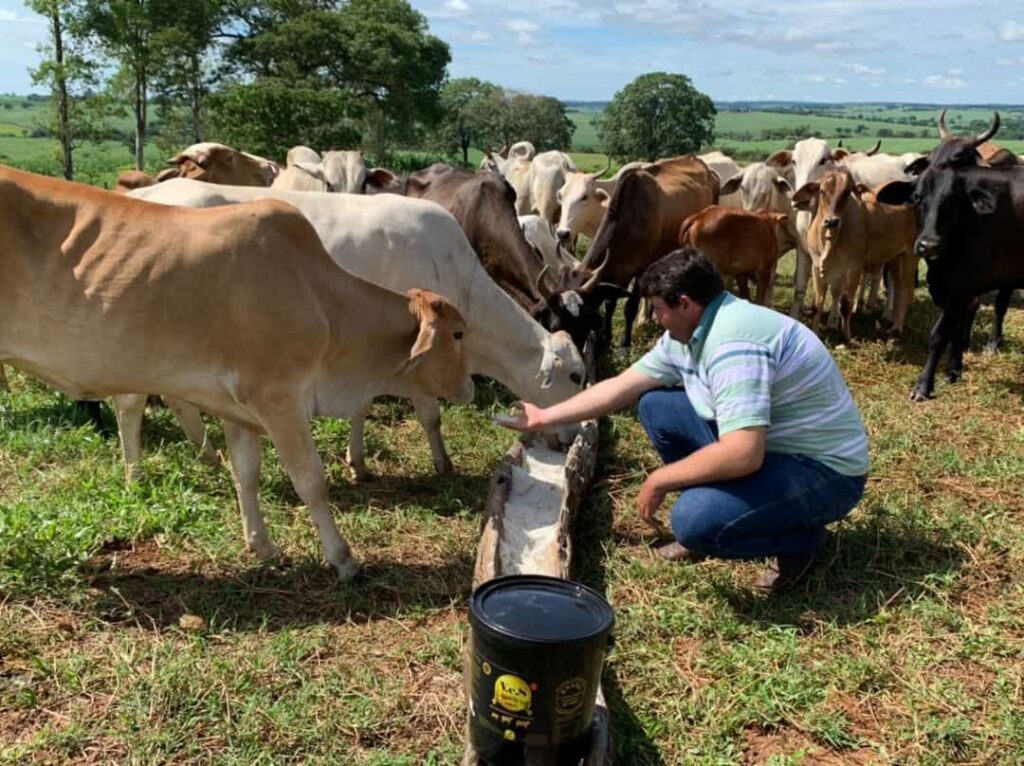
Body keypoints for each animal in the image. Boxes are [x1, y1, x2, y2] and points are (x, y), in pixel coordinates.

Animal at [0, 164, 473, 577]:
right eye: (459, 333)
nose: (470, 388)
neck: (320, 299)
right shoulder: (277, 397)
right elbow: (310, 479)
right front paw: (342, 559)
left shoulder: (237, 409)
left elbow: (246, 473)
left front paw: (262, 545)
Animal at [132, 180, 589, 479]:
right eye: (575, 375)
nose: (571, 438)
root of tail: (146, 193)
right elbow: (429, 415)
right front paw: (443, 464)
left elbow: (361, 407)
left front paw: (359, 462)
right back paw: (139, 469)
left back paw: (206, 454)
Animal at [569, 155, 720, 346]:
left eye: (579, 318)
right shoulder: (617, 271)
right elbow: (610, 303)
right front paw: (606, 337)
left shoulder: (640, 268)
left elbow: (630, 307)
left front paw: (624, 343)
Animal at [790, 173, 921, 344]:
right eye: (822, 191)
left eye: (846, 193)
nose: (831, 221)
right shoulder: (817, 267)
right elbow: (816, 304)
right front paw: (815, 332)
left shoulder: (853, 269)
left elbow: (845, 304)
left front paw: (846, 337)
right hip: (896, 258)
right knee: (898, 288)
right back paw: (892, 323)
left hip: (910, 255)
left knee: (906, 290)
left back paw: (896, 331)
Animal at [872, 113, 1024, 403]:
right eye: (916, 198)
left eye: (954, 201)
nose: (928, 245)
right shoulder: (954, 287)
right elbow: (955, 329)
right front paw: (953, 371)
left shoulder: (962, 285)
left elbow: (939, 334)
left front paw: (923, 387)